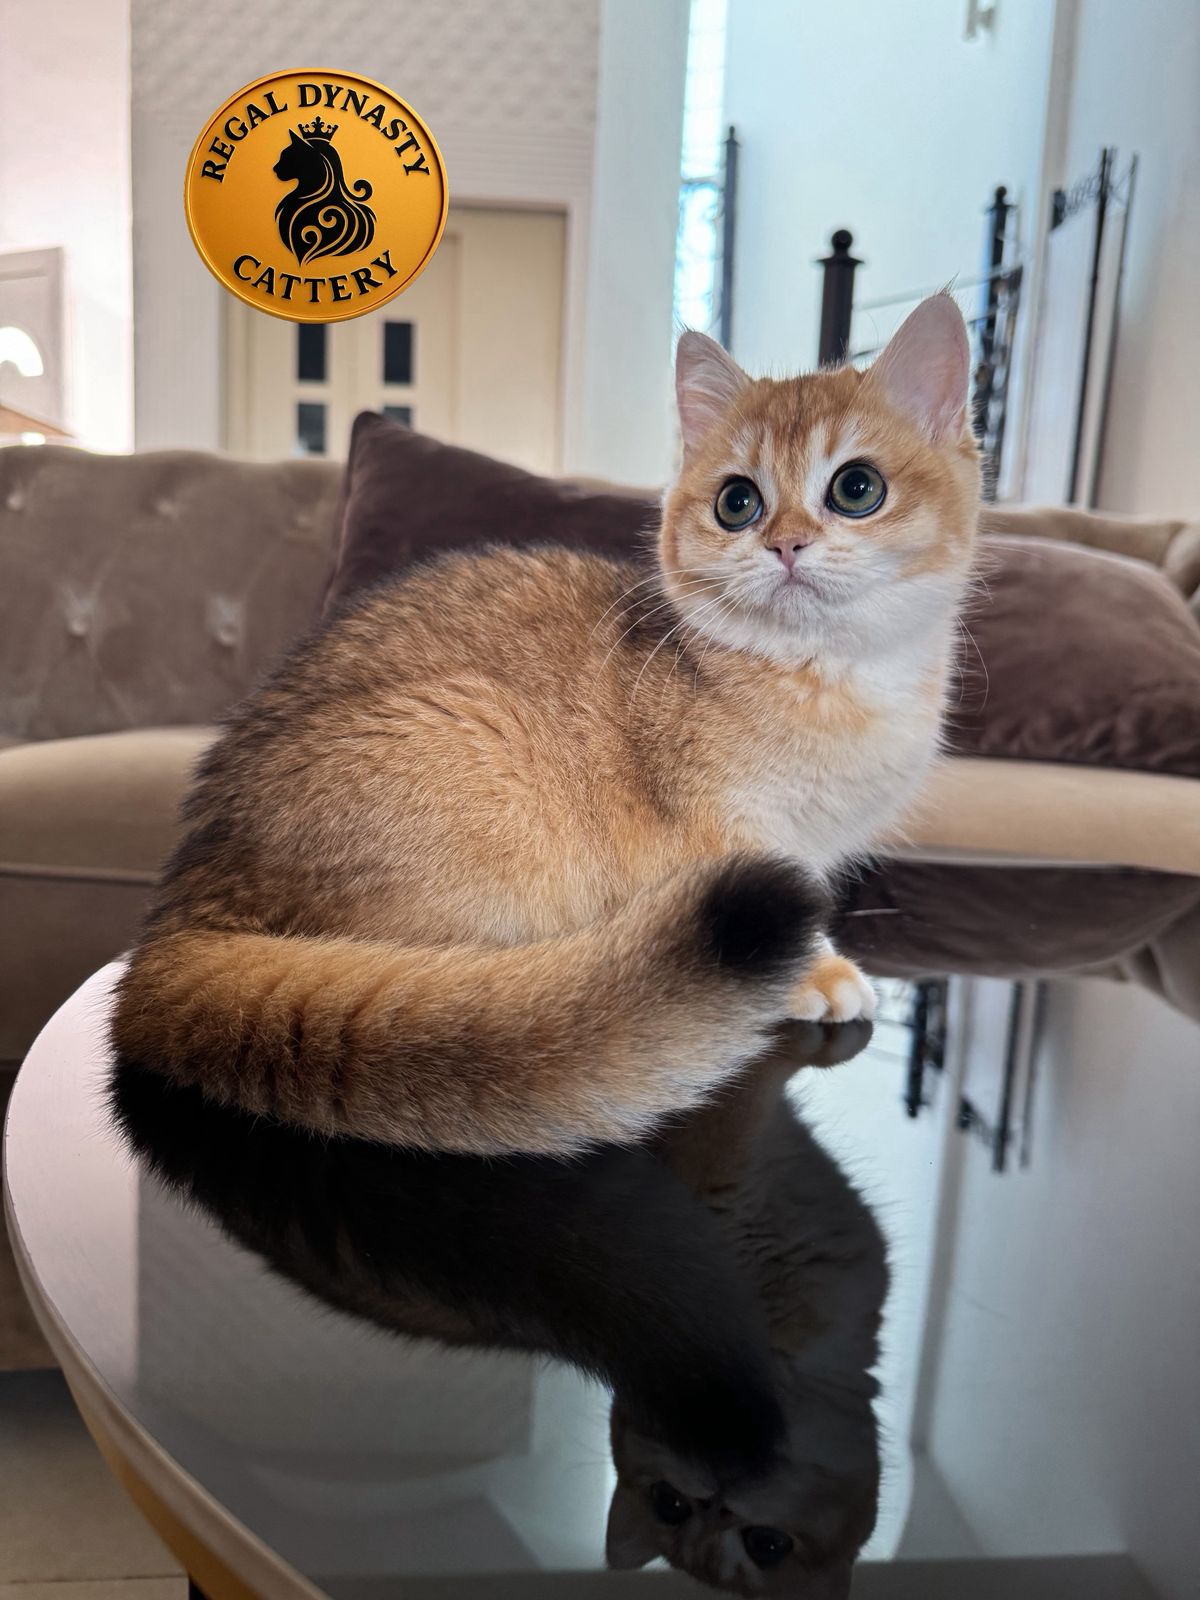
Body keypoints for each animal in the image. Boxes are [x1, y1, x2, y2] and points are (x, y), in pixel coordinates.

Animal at [111, 293, 978, 1157]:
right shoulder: (722, 833)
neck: (826, 680)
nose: (786, 544)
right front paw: (817, 973)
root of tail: (187, 899)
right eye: (738, 502)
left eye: (857, 488)